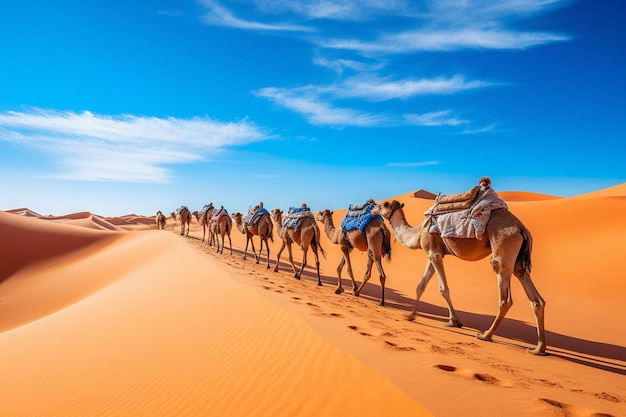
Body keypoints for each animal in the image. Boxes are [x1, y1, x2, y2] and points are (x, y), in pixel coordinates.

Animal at [372, 179, 544, 354]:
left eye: (384, 204)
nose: (373, 207)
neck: (419, 233)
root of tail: (522, 229)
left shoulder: (434, 253)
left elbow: (443, 289)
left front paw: (454, 321)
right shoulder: (434, 253)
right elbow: (420, 286)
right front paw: (410, 316)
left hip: (504, 250)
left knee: (504, 298)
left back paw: (486, 335)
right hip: (518, 261)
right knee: (535, 297)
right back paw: (538, 348)